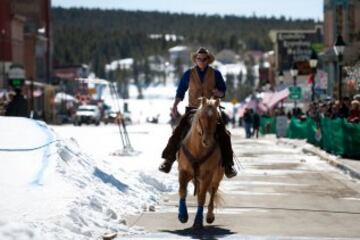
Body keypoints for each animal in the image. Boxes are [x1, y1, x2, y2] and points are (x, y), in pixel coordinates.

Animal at [176, 96, 224, 229]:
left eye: (217, 118)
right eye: (201, 117)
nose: (207, 141)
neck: (197, 150)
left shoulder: (207, 176)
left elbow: (202, 198)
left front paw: (198, 221)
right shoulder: (183, 171)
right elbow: (182, 191)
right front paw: (182, 215)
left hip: (217, 176)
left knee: (213, 191)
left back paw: (209, 216)